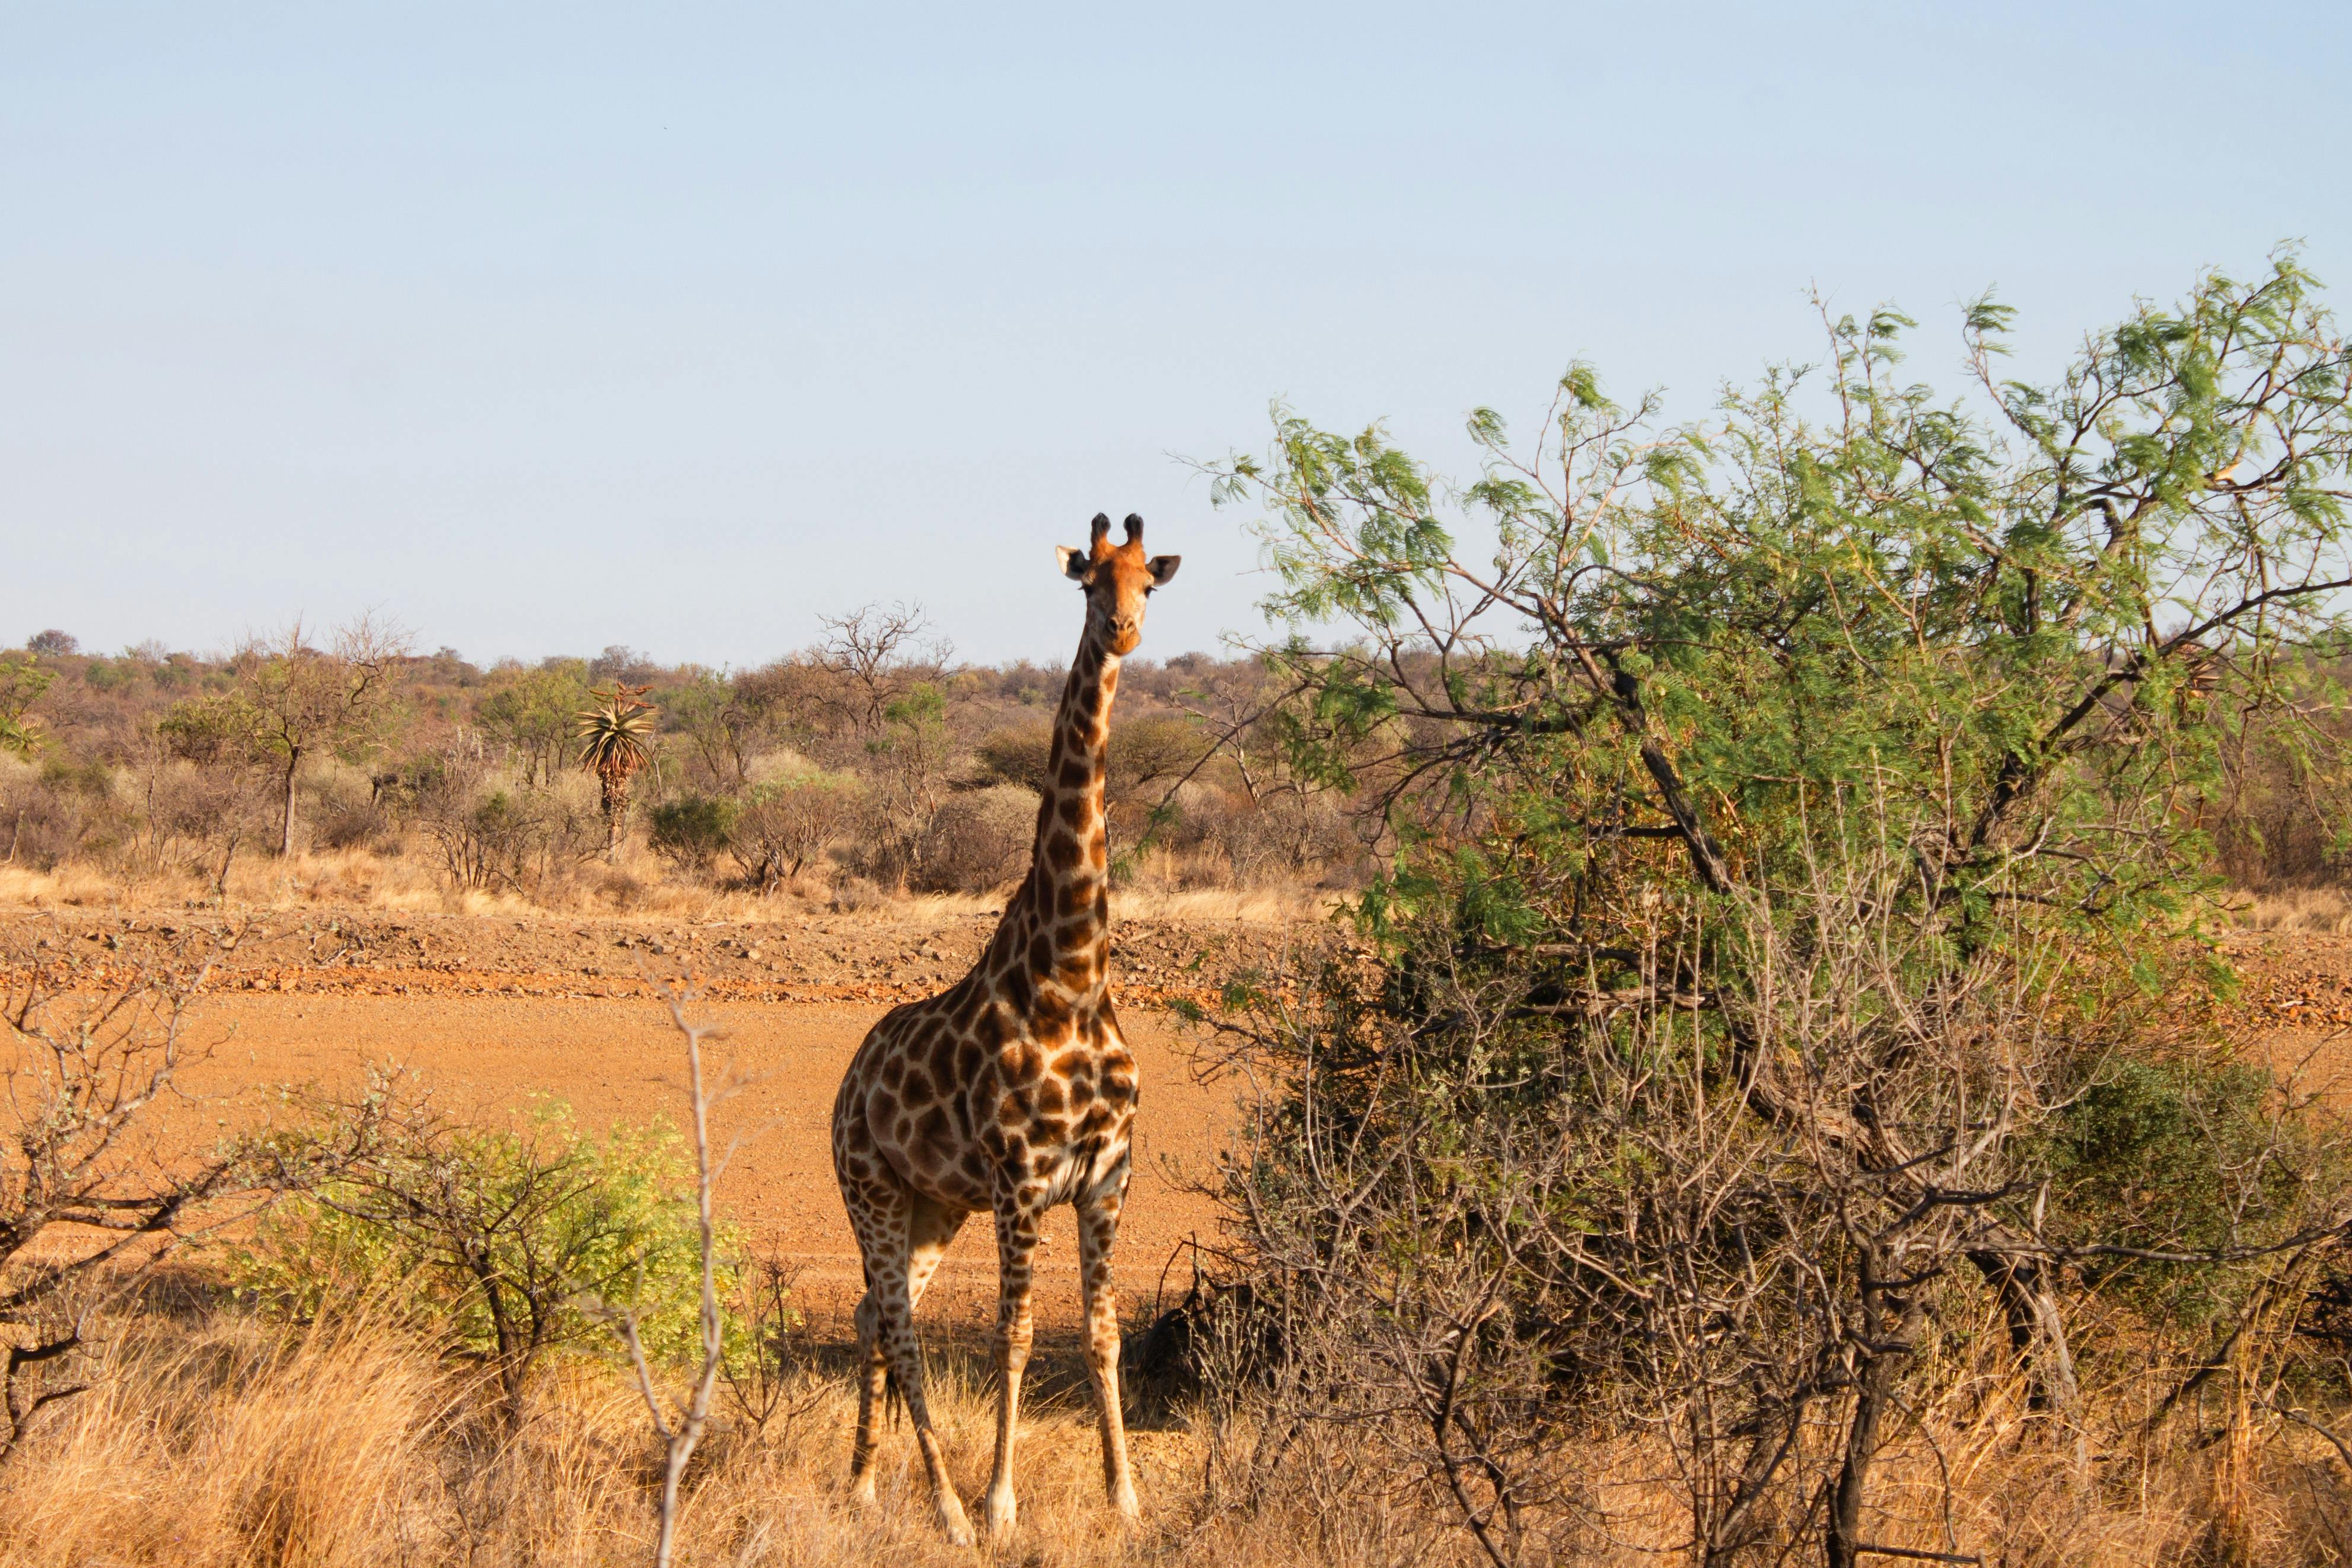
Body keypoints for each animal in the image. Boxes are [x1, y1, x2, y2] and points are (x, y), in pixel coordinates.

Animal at [837, 512, 1185, 1542]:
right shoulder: (1022, 1181)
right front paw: (1000, 1505)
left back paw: (861, 1484)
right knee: (899, 1327)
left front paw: (1125, 1497)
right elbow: (1015, 1336)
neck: (1070, 975)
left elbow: (1101, 1334)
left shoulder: (1106, 1178)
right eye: (1088, 583)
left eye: (1148, 582)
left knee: (873, 1317)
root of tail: (848, 1079)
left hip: (932, 1206)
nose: (1122, 632)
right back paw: (947, 1509)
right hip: (871, 1189)